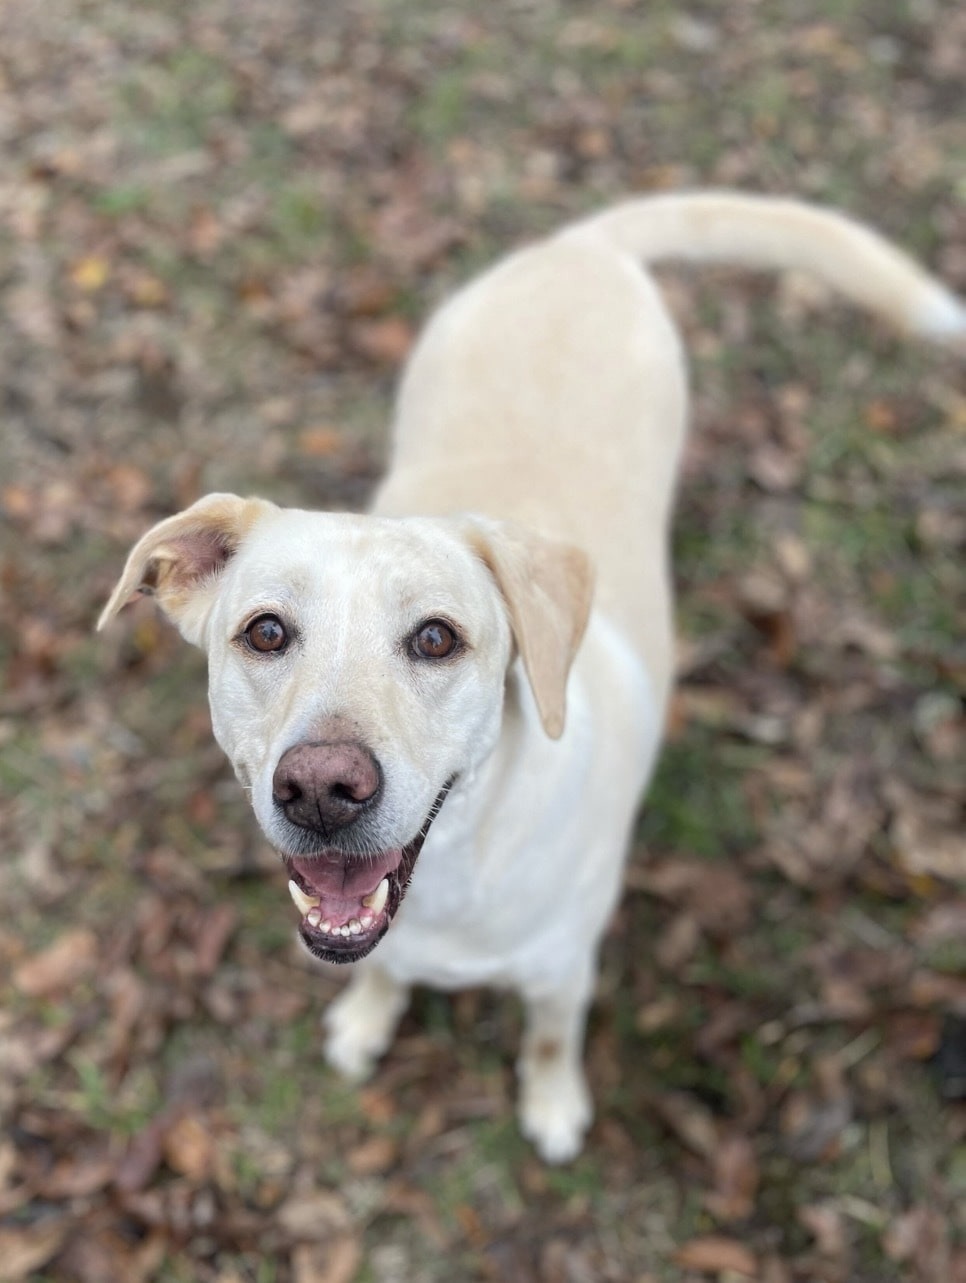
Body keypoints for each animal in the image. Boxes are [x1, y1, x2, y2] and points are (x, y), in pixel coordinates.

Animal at [99, 192, 965, 1162]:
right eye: (266, 631)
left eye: (437, 638)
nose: (322, 788)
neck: (456, 866)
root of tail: (578, 243)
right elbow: (380, 974)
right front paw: (366, 1020)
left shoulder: (563, 971)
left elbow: (551, 1037)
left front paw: (553, 1103)